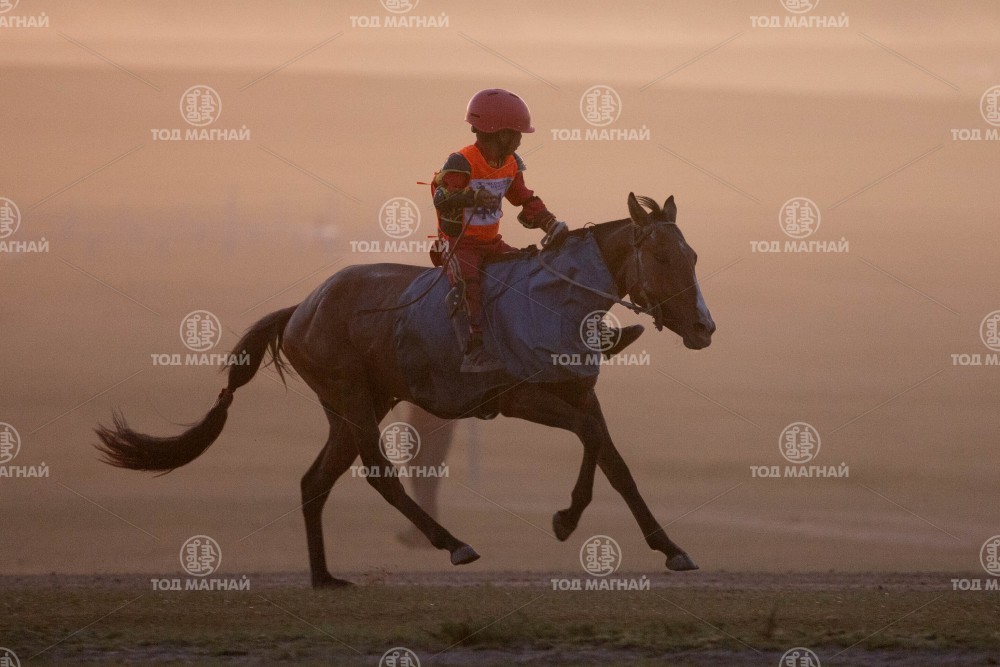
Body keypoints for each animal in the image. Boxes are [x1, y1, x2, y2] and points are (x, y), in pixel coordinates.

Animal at [95, 193, 716, 588]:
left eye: (692, 254)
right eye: (662, 255)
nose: (704, 328)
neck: (558, 299)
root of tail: (300, 310)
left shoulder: (582, 394)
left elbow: (613, 461)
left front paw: (671, 548)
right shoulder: (525, 399)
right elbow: (590, 440)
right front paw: (565, 519)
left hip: (355, 407)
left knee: (315, 479)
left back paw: (324, 577)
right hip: (351, 400)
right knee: (378, 473)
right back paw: (453, 543)